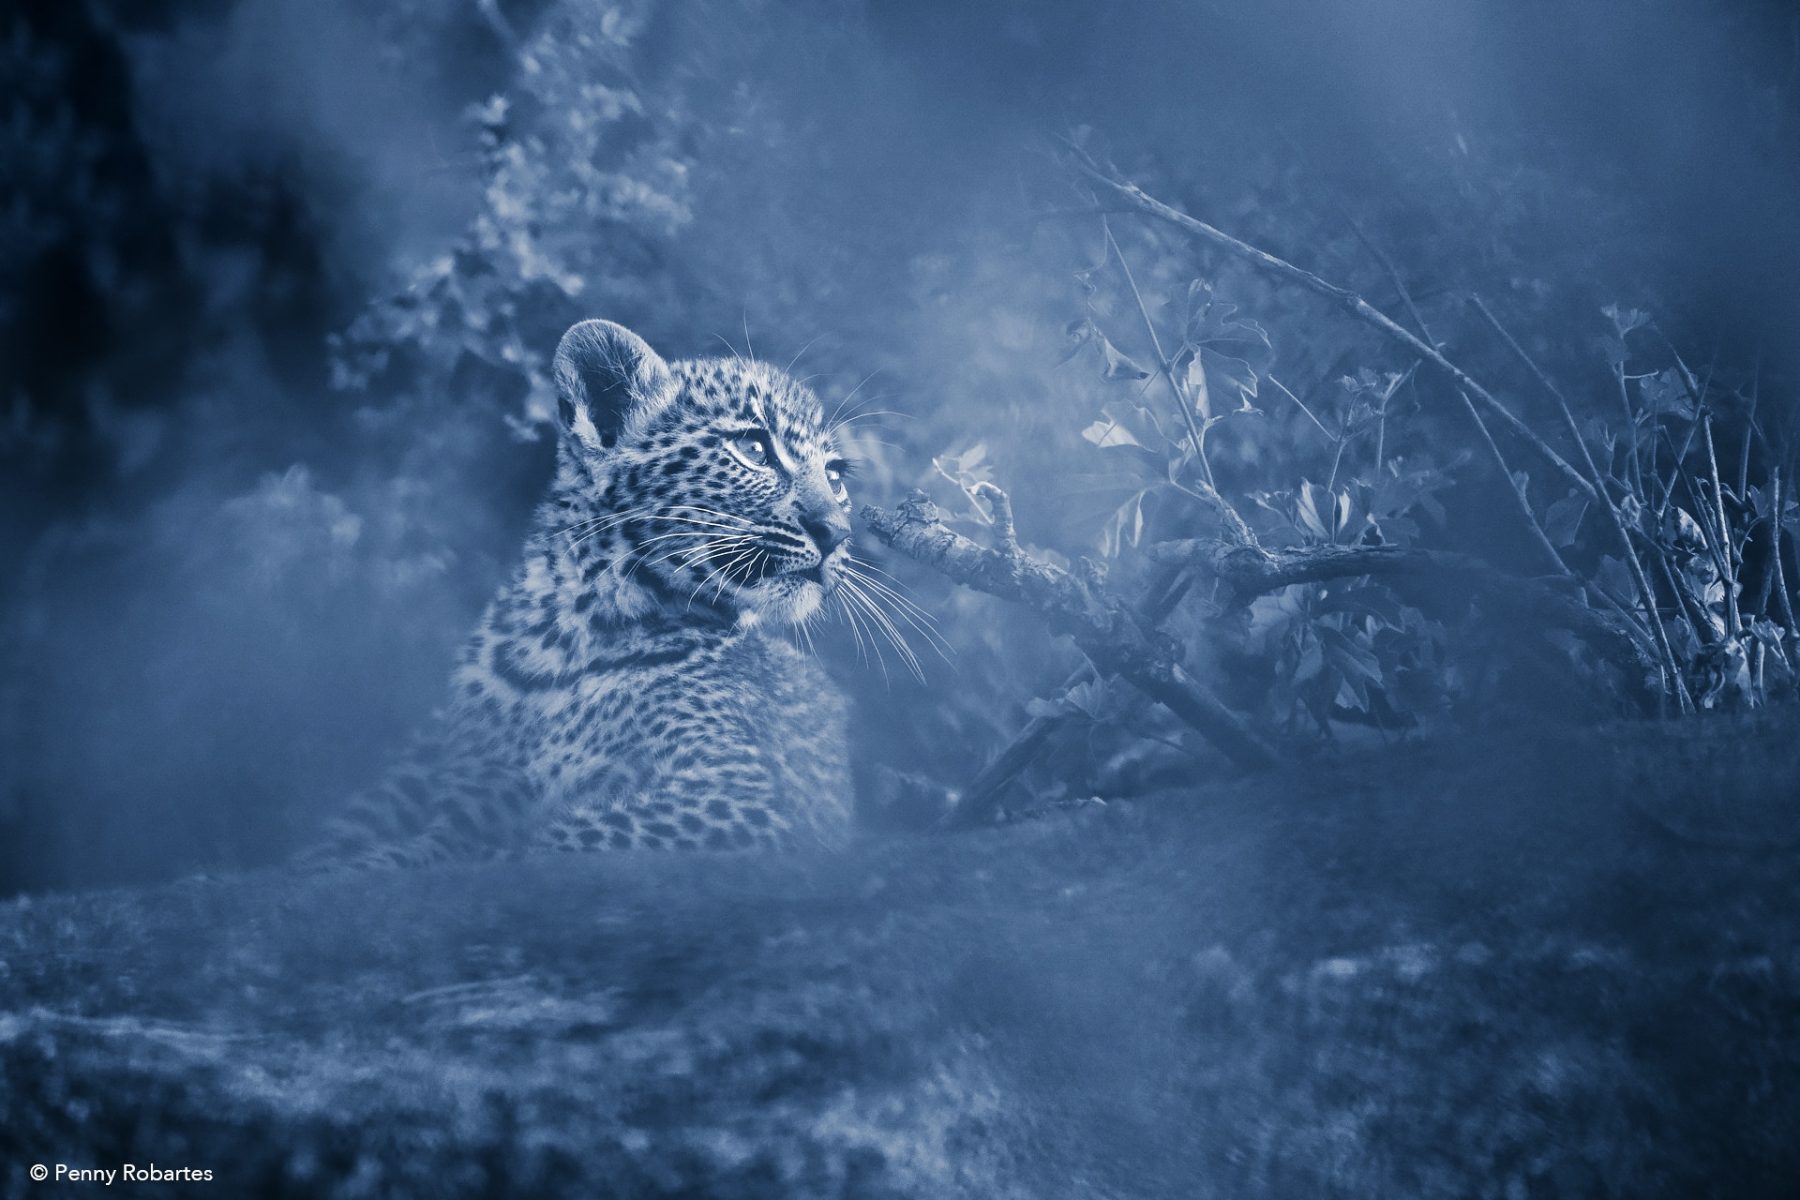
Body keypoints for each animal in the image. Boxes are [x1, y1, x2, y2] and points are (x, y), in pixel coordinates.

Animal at [298, 319, 858, 868]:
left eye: (835, 477)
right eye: (754, 449)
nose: (836, 533)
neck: (570, 628)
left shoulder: (747, 793)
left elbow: (551, 843)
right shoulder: (467, 776)